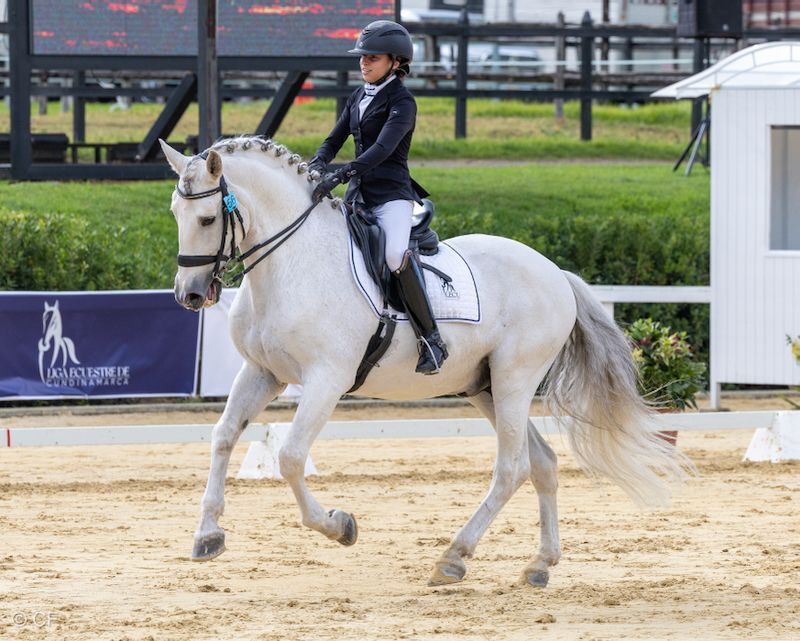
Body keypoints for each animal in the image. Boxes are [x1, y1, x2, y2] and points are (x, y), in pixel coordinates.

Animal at [159, 136, 689, 588]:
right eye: (174, 213)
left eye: (207, 219)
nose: (189, 296)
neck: (292, 263)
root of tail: (555, 272)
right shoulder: (263, 372)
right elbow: (224, 436)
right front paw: (208, 535)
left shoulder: (327, 379)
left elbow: (289, 458)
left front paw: (340, 525)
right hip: (486, 387)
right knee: (542, 463)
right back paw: (539, 564)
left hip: (515, 381)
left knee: (512, 468)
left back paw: (453, 558)